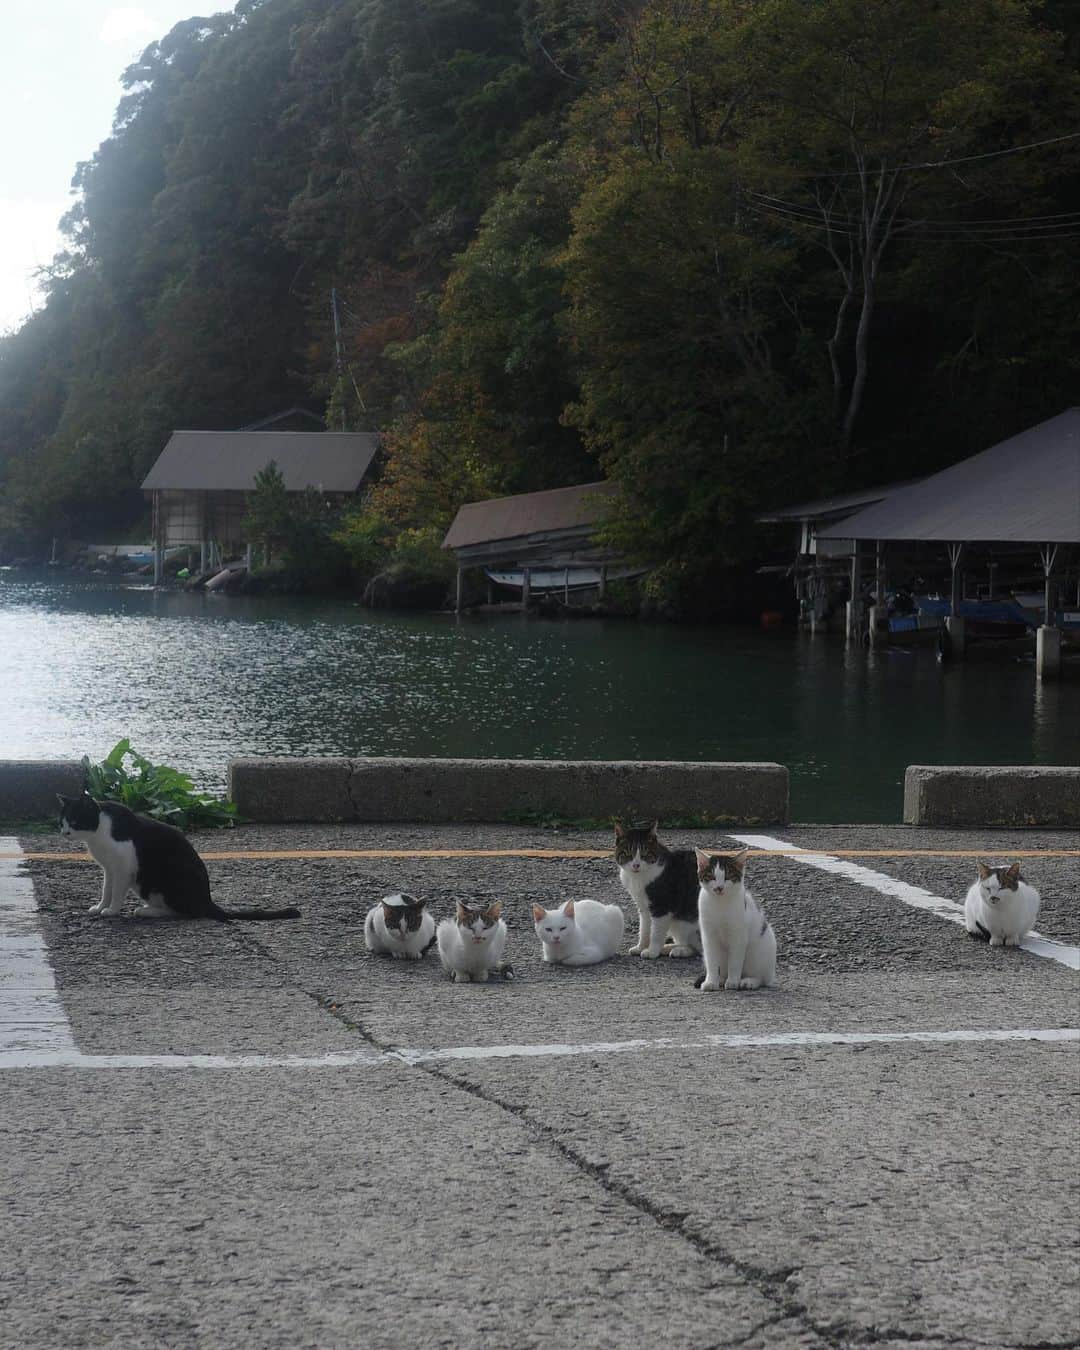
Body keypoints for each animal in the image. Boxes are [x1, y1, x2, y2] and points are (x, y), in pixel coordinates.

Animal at [57, 788, 301, 918]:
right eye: (62, 822)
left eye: (75, 821)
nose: (65, 832)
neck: (99, 833)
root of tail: (207, 900)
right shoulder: (110, 869)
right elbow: (106, 890)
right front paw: (100, 907)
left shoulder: (124, 868)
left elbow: (116, 892)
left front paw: (112, 911)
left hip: (167, 877)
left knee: (183, 912)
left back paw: (146, 912)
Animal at [612, 820, 702, 961]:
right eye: (628, 853)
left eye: (645, 853)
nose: (636, 865)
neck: (638, 877)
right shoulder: (643, 906)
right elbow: (644, 928)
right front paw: (641, 947)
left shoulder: (661, 905)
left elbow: (656, 932)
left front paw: (652, 951)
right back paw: (669, 948)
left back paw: (678, 950)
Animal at [691, 853, 777, 993]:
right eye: (711, 876)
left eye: (728, 876)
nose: (719, 887)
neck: (720, 904)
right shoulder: (708, 936)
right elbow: (711, 961)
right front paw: (710, 982)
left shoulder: (738, 936)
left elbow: (735, 962)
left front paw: (732, 982)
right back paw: (720, 979)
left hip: (759, 952)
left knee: (761, 978)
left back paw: (748, 981)